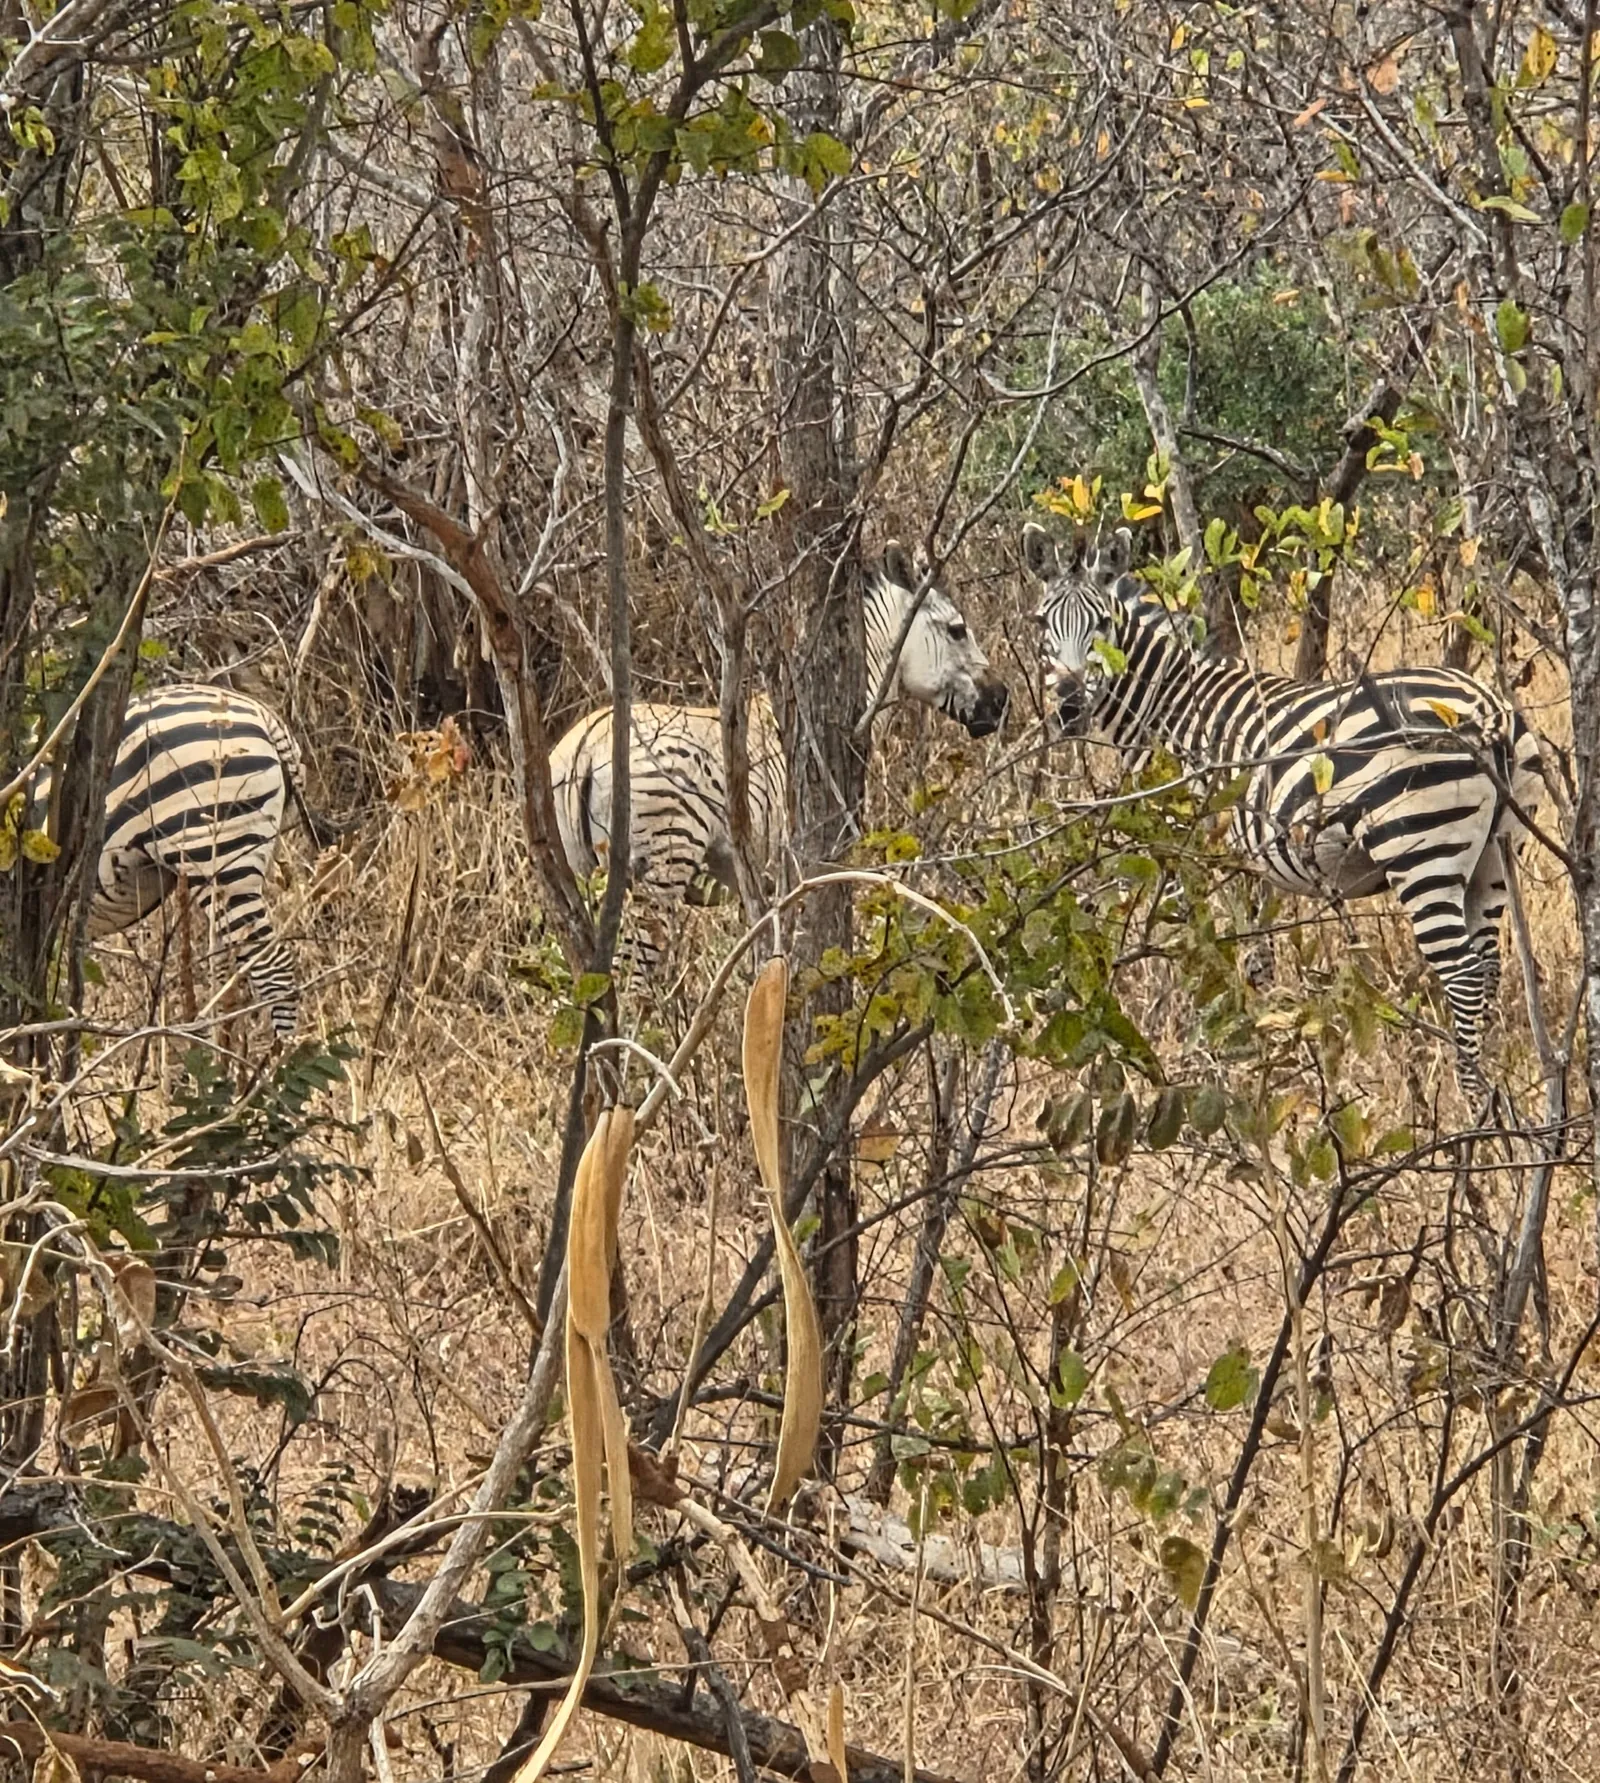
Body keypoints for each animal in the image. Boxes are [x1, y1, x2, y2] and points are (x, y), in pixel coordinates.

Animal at [551, 542, 1010, 967]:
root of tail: (584, 747)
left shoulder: (759, 882)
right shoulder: (798, 862)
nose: (1002, 699)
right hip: (663, 861)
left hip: (582, 873)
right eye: (957, 630)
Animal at [1022, 521, 1545, 1093]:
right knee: (1489, 966)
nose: (1069, 706)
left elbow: (1199, 950)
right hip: (1496, 855)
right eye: (1043, 624)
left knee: (1463, 974)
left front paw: (1214, 1043)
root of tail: (1489, 708)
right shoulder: (1250, 858)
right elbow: (1257, 954)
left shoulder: (1186, 848)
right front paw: (1268, 1037)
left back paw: (1469, 1097)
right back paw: (1496, 1091)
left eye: (1102, 626)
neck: (1168, 707)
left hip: (1420, 847)